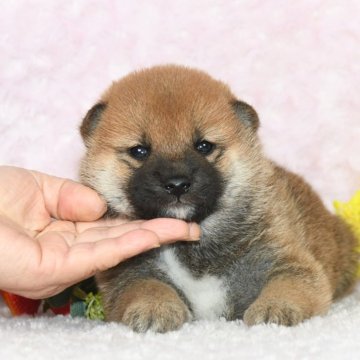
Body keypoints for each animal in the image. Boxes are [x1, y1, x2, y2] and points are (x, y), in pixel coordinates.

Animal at [79, 64, 358, 332]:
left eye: (204, 146)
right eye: (139, 151)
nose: (177, 184)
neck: (193, 246)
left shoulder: (286, 261)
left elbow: (288, 286)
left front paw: (274, 309)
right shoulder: (129, 275)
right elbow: (148, 287)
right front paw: (153, 308)